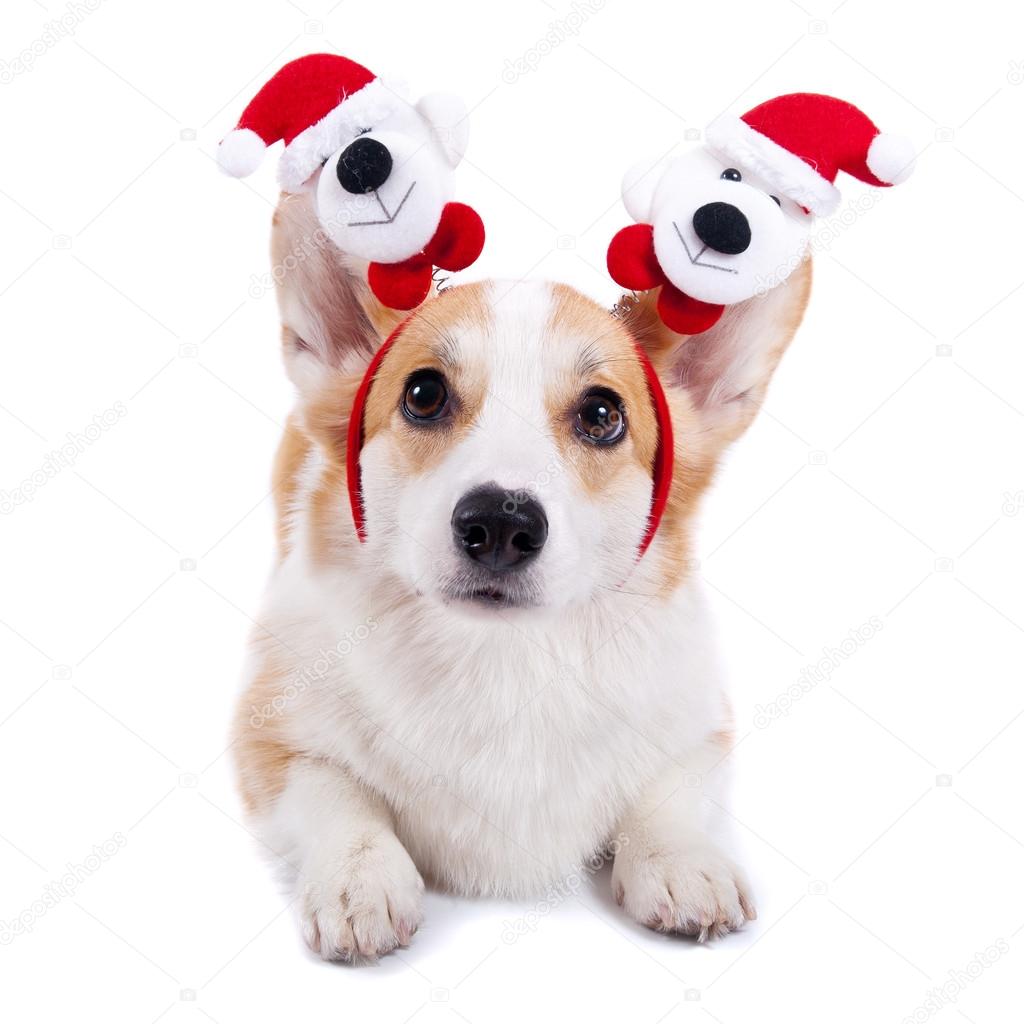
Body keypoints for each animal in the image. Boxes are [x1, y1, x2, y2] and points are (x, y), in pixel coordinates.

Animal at [235, 190, 811, 958]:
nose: (501, 525)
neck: (503, 657)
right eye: (423, 394)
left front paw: (685, 863)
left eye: (602, 413)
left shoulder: (700, 728)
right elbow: (334, 793)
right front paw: (359, 877)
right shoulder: (268, 737)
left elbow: (668, 793)